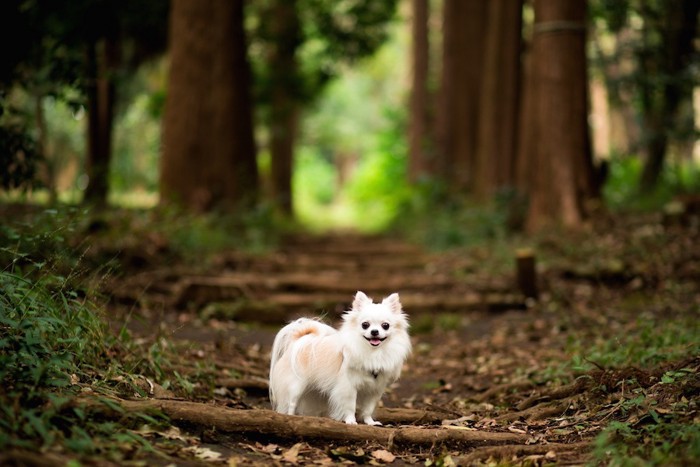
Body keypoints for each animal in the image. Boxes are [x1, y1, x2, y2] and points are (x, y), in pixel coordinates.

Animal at [268, 292, 410, 428]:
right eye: (365, 325)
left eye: (385, 326)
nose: (374, 331)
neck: (373, 352)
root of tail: (299, 340)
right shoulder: (348, 387)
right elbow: (350, 406)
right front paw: (351, 421)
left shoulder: (374, 390)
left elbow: (368, 409)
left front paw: (370, 422)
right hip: (296, 386)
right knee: (291, 403)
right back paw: (291, 417)